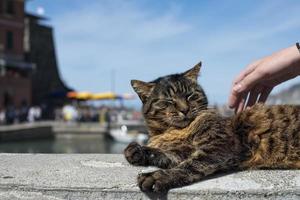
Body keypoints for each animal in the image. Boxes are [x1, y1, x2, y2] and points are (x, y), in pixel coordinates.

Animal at [123, 62, 298, 192]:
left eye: (190, 95)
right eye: (168, 101)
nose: (184, 109)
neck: (174, 132)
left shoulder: (219, 145)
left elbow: (189, 166)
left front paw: (156, 176)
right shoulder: (181, 152)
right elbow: (164, 154)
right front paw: (136, 150)